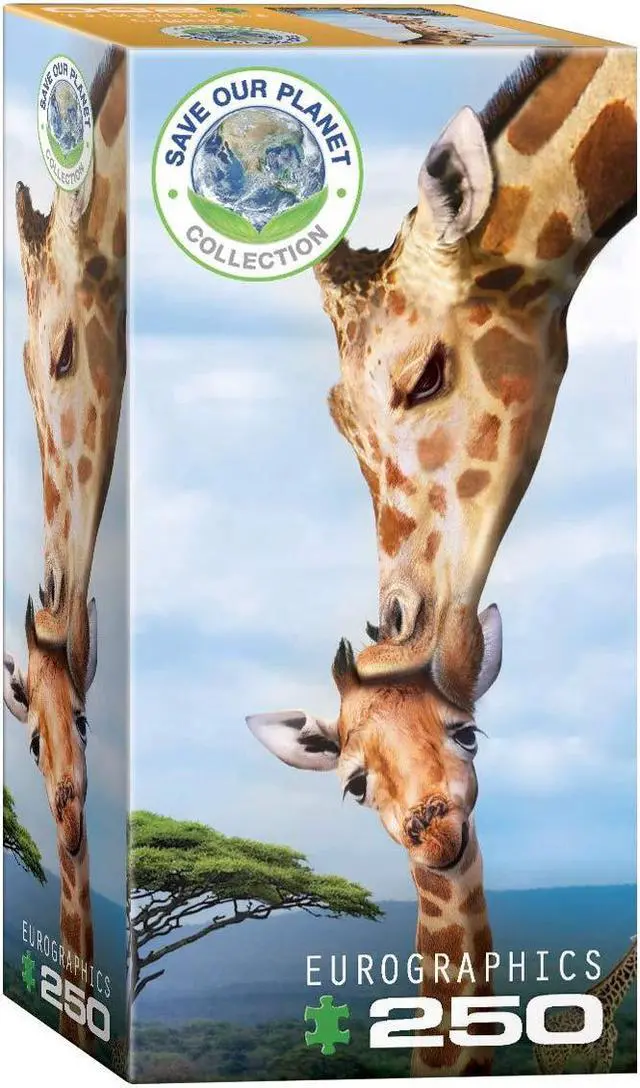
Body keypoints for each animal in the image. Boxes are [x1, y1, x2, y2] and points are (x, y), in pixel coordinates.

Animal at [533, 938, 637, 1075]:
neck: (610, 1003)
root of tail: (537, 1045)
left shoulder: (591, 1060)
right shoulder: (606, 1055)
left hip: (542, 1064)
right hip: (556, 1062)